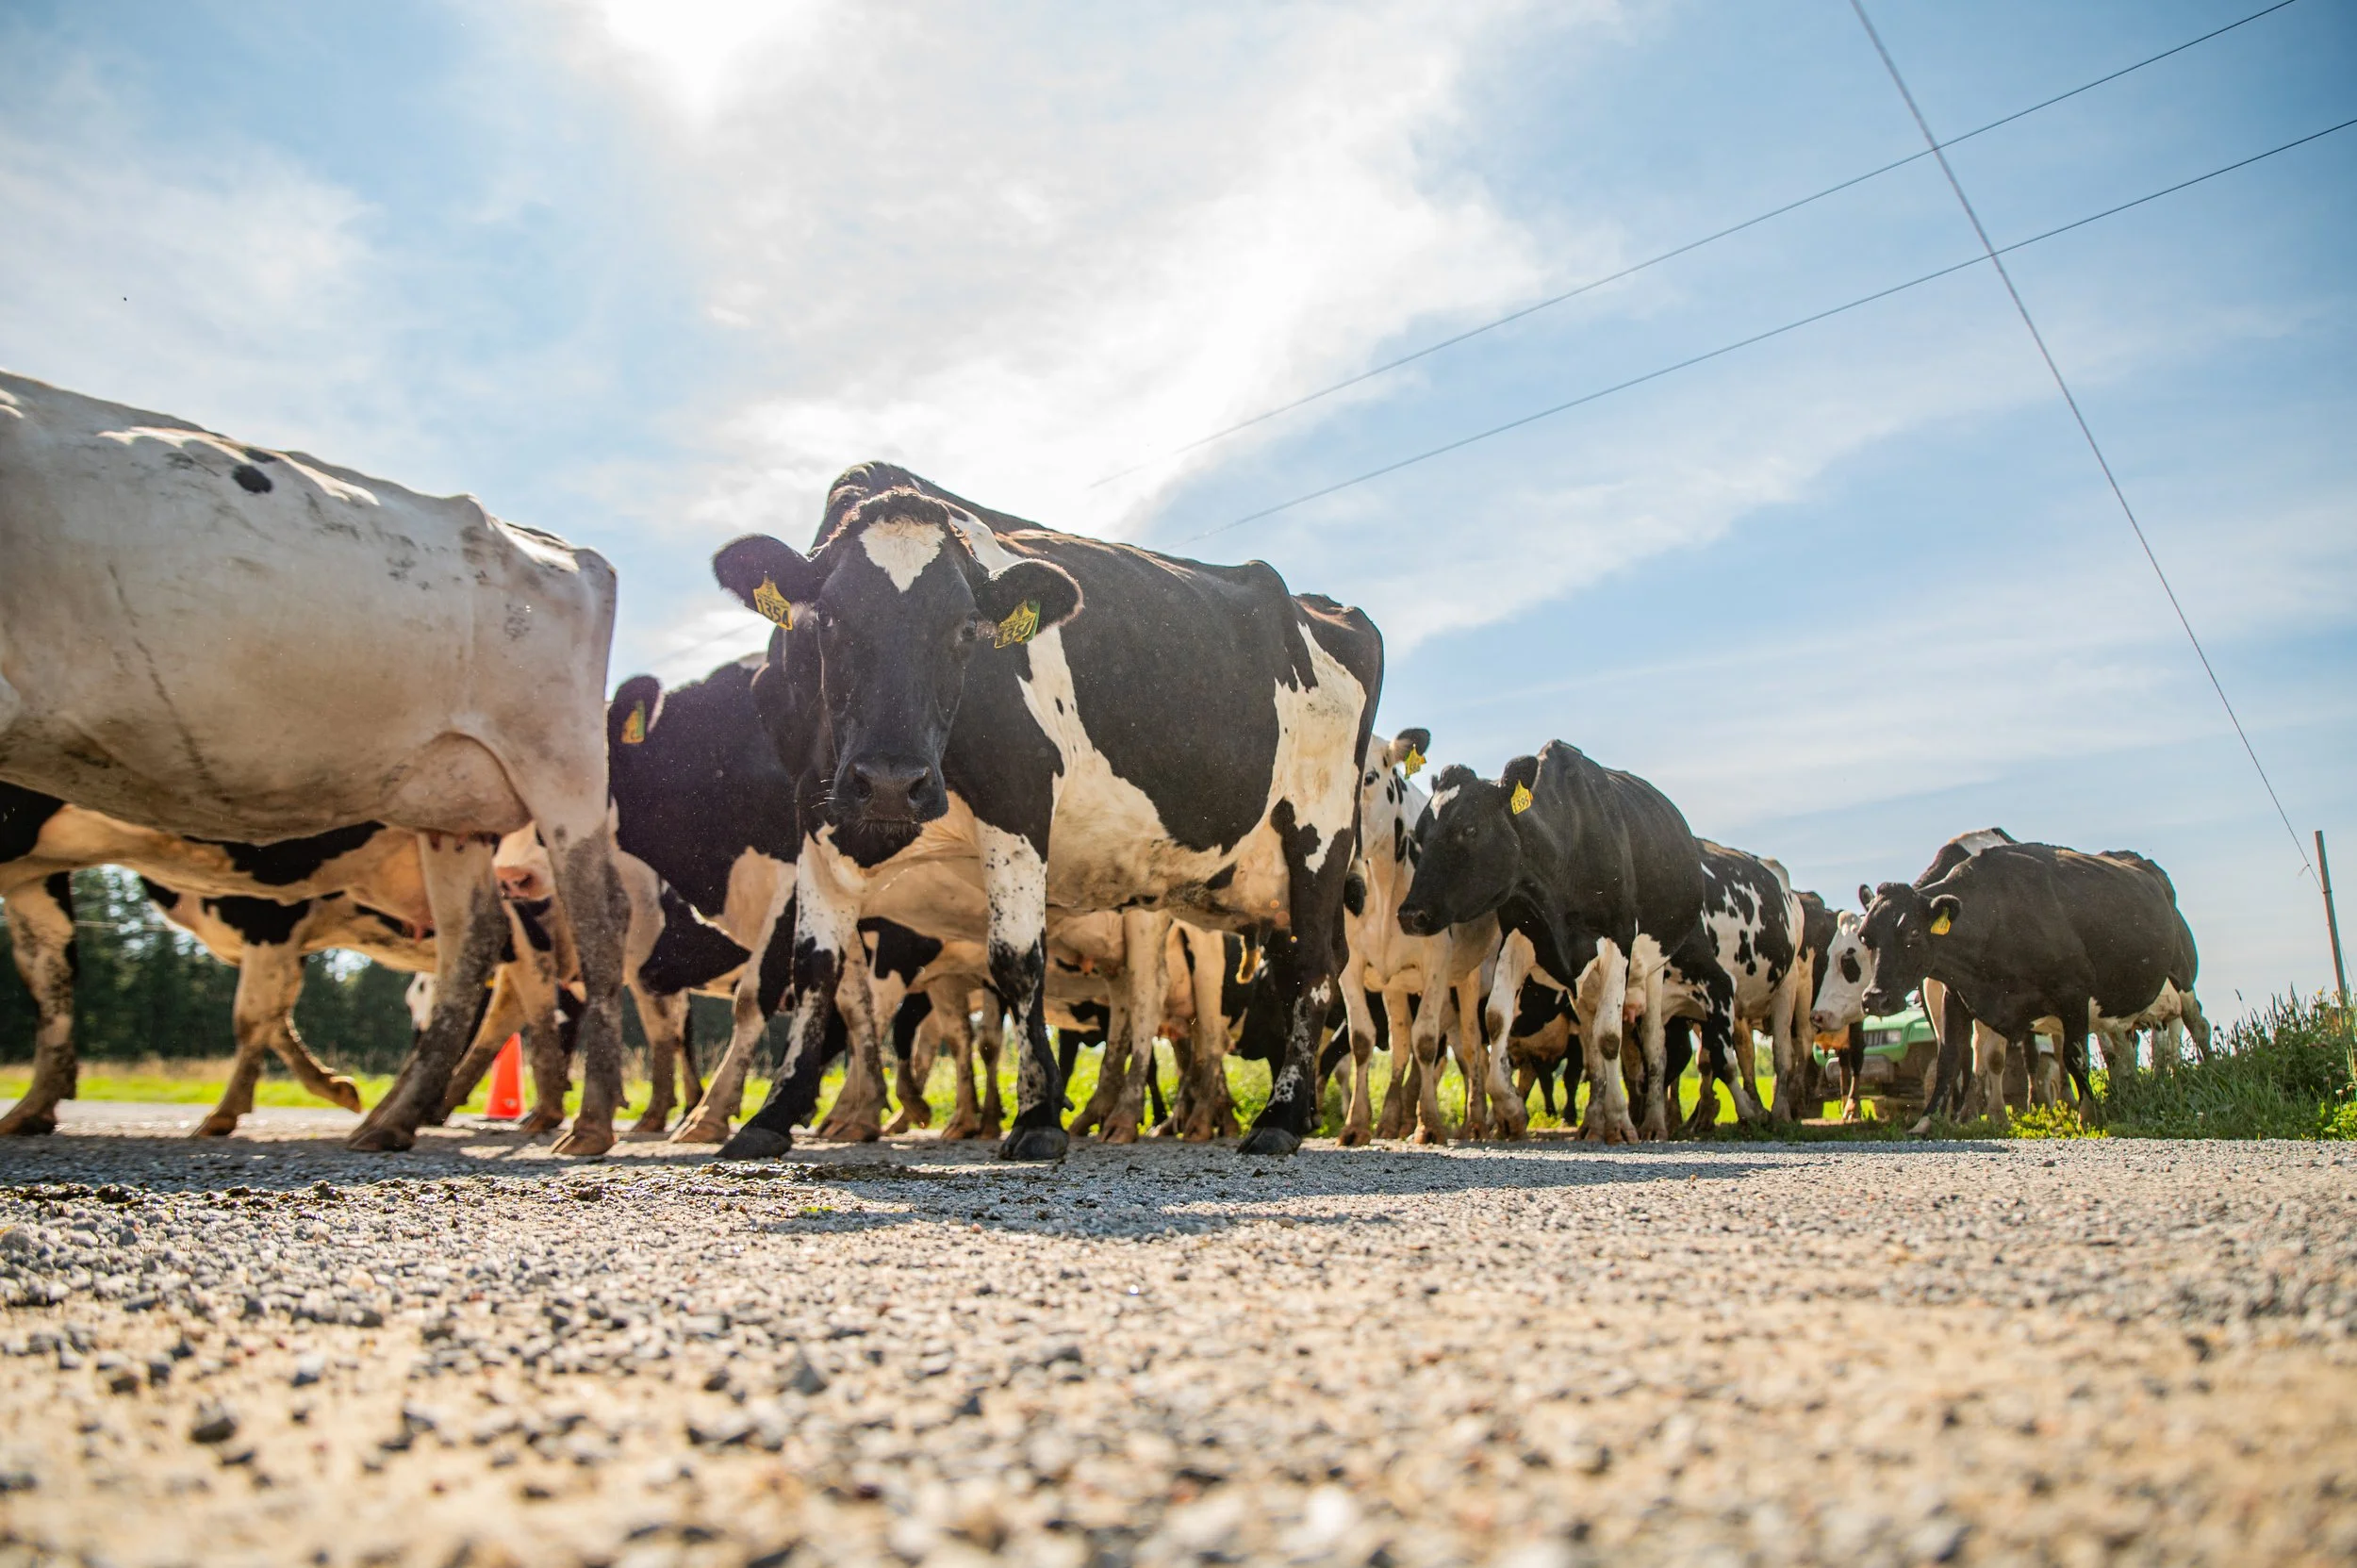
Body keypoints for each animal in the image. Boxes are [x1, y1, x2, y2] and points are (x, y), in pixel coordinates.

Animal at [0, 371, 629, 1154]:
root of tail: (566, 550)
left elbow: (252, 1014)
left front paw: (236, 1109)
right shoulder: (33, 865)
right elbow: (52, 975)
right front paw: (38, 1103)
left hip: (556, 770)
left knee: (593, 930)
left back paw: (584, 1120)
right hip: (454, 802)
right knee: (474, 948)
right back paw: (398, 1115)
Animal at [704, 462, 1381, 1162]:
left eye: (966, 629)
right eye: (828, 621)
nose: (892, 782)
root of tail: (1320, 605)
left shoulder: (1020, 794)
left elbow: (1016, 957)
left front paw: (1036, 1115)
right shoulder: (816, 815)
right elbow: (815, 966)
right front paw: (772, 1114)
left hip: (1320, 830)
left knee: (1312, 966)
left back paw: (1280, 1117)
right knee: (1300, 961)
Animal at [1395, 743, 1719, 1143]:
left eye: (1469, 828)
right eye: (1421, 833)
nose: (1410, 914)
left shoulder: (1619, 940)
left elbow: (1610, 1036)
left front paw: (1621, 1121)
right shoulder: (1520, 935)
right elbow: (1497, 1019)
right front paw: (1511, 1111)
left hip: (1654, 968)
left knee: (1653, 1042)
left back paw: (1653, 1123)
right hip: (1583, 985)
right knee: (1592, 1045)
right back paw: (1593, 1121)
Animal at [1851, 839, 2209, 1129]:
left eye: (1912, 933)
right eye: (1865, 937)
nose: (1875, 999)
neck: (1997, 916)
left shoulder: (2072, 993)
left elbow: (2075, 1056)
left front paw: (2088, 1115)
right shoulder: (1958, 996)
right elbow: (1948, 1060)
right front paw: (1926, 1121)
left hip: (2183, 979)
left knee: (2197, 1025)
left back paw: (2209, 1073)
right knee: (2121, 1049)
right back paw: (2129, 1091)